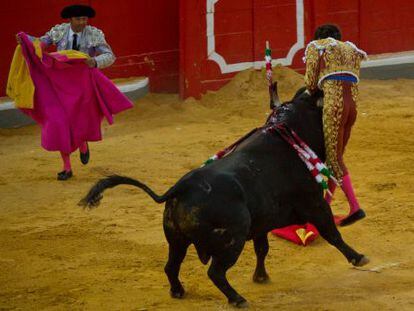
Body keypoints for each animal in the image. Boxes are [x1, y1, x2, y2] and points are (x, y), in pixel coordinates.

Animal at [80, 87, 368, 308]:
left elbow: (262, 248)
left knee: (171, 266)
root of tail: (181, 188)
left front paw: (261, 276)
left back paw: (178, 291)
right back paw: (237, 298)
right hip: (233, 237)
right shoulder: (314, 205)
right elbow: (332, 233)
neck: (288, 130)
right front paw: (358, 257)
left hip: (177, 239)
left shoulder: (262, 222)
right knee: (215, 272)